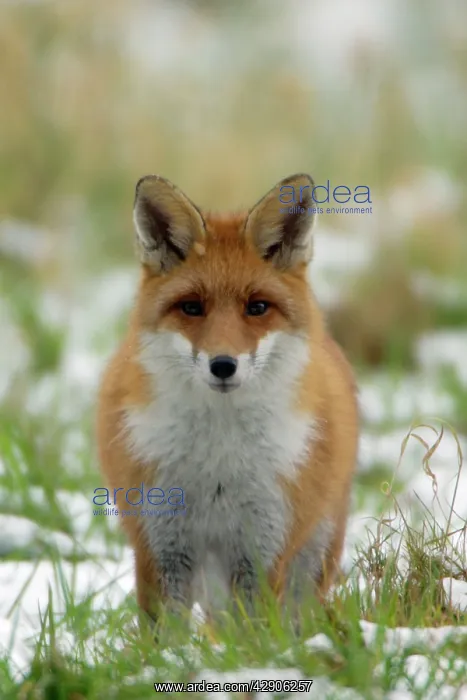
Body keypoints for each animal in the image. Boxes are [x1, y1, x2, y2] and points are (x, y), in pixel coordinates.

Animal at [96, 173, 359, 625]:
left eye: (257, 307)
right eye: (191, 307)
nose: (223, 365)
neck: (217, 461)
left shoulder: (263, 548)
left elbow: (255, 633)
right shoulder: (160, 546)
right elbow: (165, 634)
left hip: (312, 559)